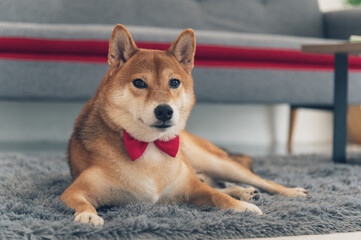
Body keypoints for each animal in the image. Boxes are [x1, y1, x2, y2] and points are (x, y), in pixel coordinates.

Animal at [60, 25, 308, 226]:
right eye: (139, 83)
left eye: (174, 82)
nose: (164, 110)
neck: (150, 147)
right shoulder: (76, 191)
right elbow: (80, 201)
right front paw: (88, 215)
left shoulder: (192, 188)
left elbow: (218, 196)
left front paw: (244, 207)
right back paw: (246, 192)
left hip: (214, 162)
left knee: (257, 181)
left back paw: (284, 191)